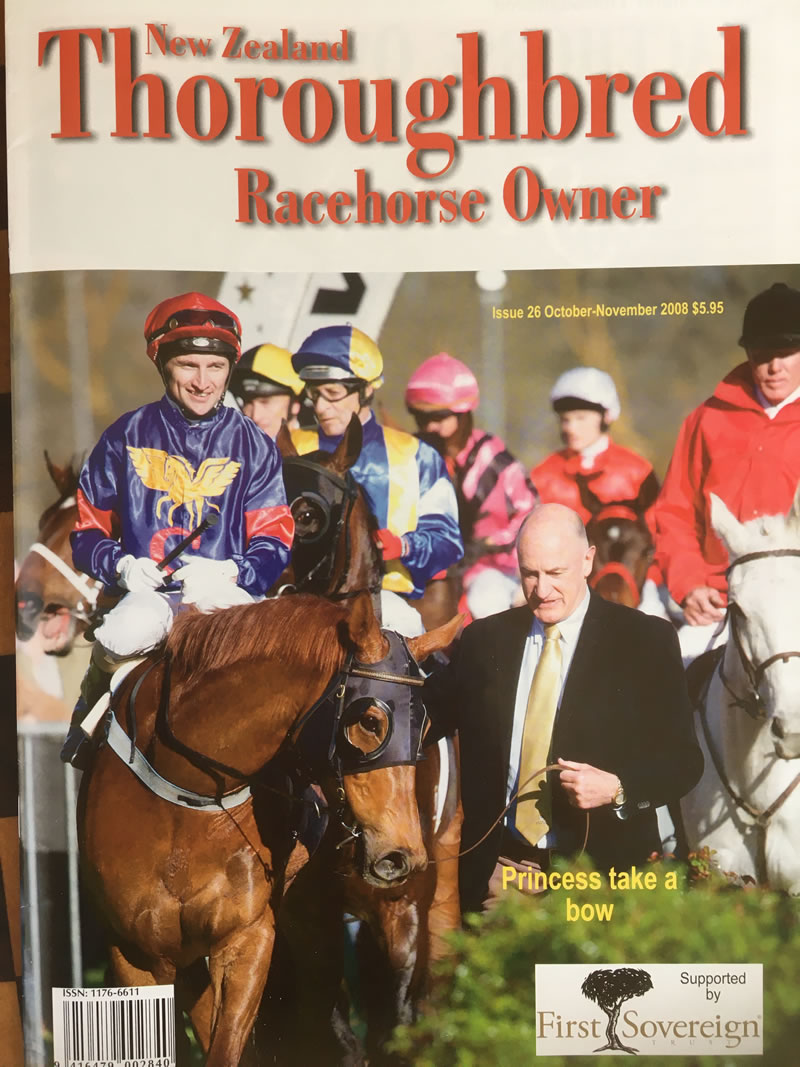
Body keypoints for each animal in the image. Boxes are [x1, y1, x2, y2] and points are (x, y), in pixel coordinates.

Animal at [82, 593, 460, 1067]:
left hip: (397, 909)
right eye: (371, 721)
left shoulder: (248, 935)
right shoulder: (137, 952)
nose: (400, 854)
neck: (184, 798)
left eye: (424, 726)